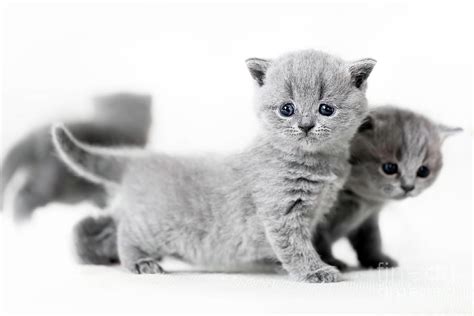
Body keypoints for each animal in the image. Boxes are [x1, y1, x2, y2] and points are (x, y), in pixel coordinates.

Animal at [53, 50, 376, 282]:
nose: (306, 125)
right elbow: (295, 246)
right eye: (287, 109)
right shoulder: (281, 213)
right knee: (125, 232)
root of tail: (142, 160)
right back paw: (139, 262)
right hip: (154, 225)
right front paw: (315, 270)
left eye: (326, 109)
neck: (316, 162)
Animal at [312, 105, 462, 270]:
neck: (361, 201)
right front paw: (329, 262)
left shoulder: (368, 220)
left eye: (423, 171)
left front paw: (377, 260)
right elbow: (319, 239)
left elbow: (371, 239)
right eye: (389, 168)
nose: (408, 187)